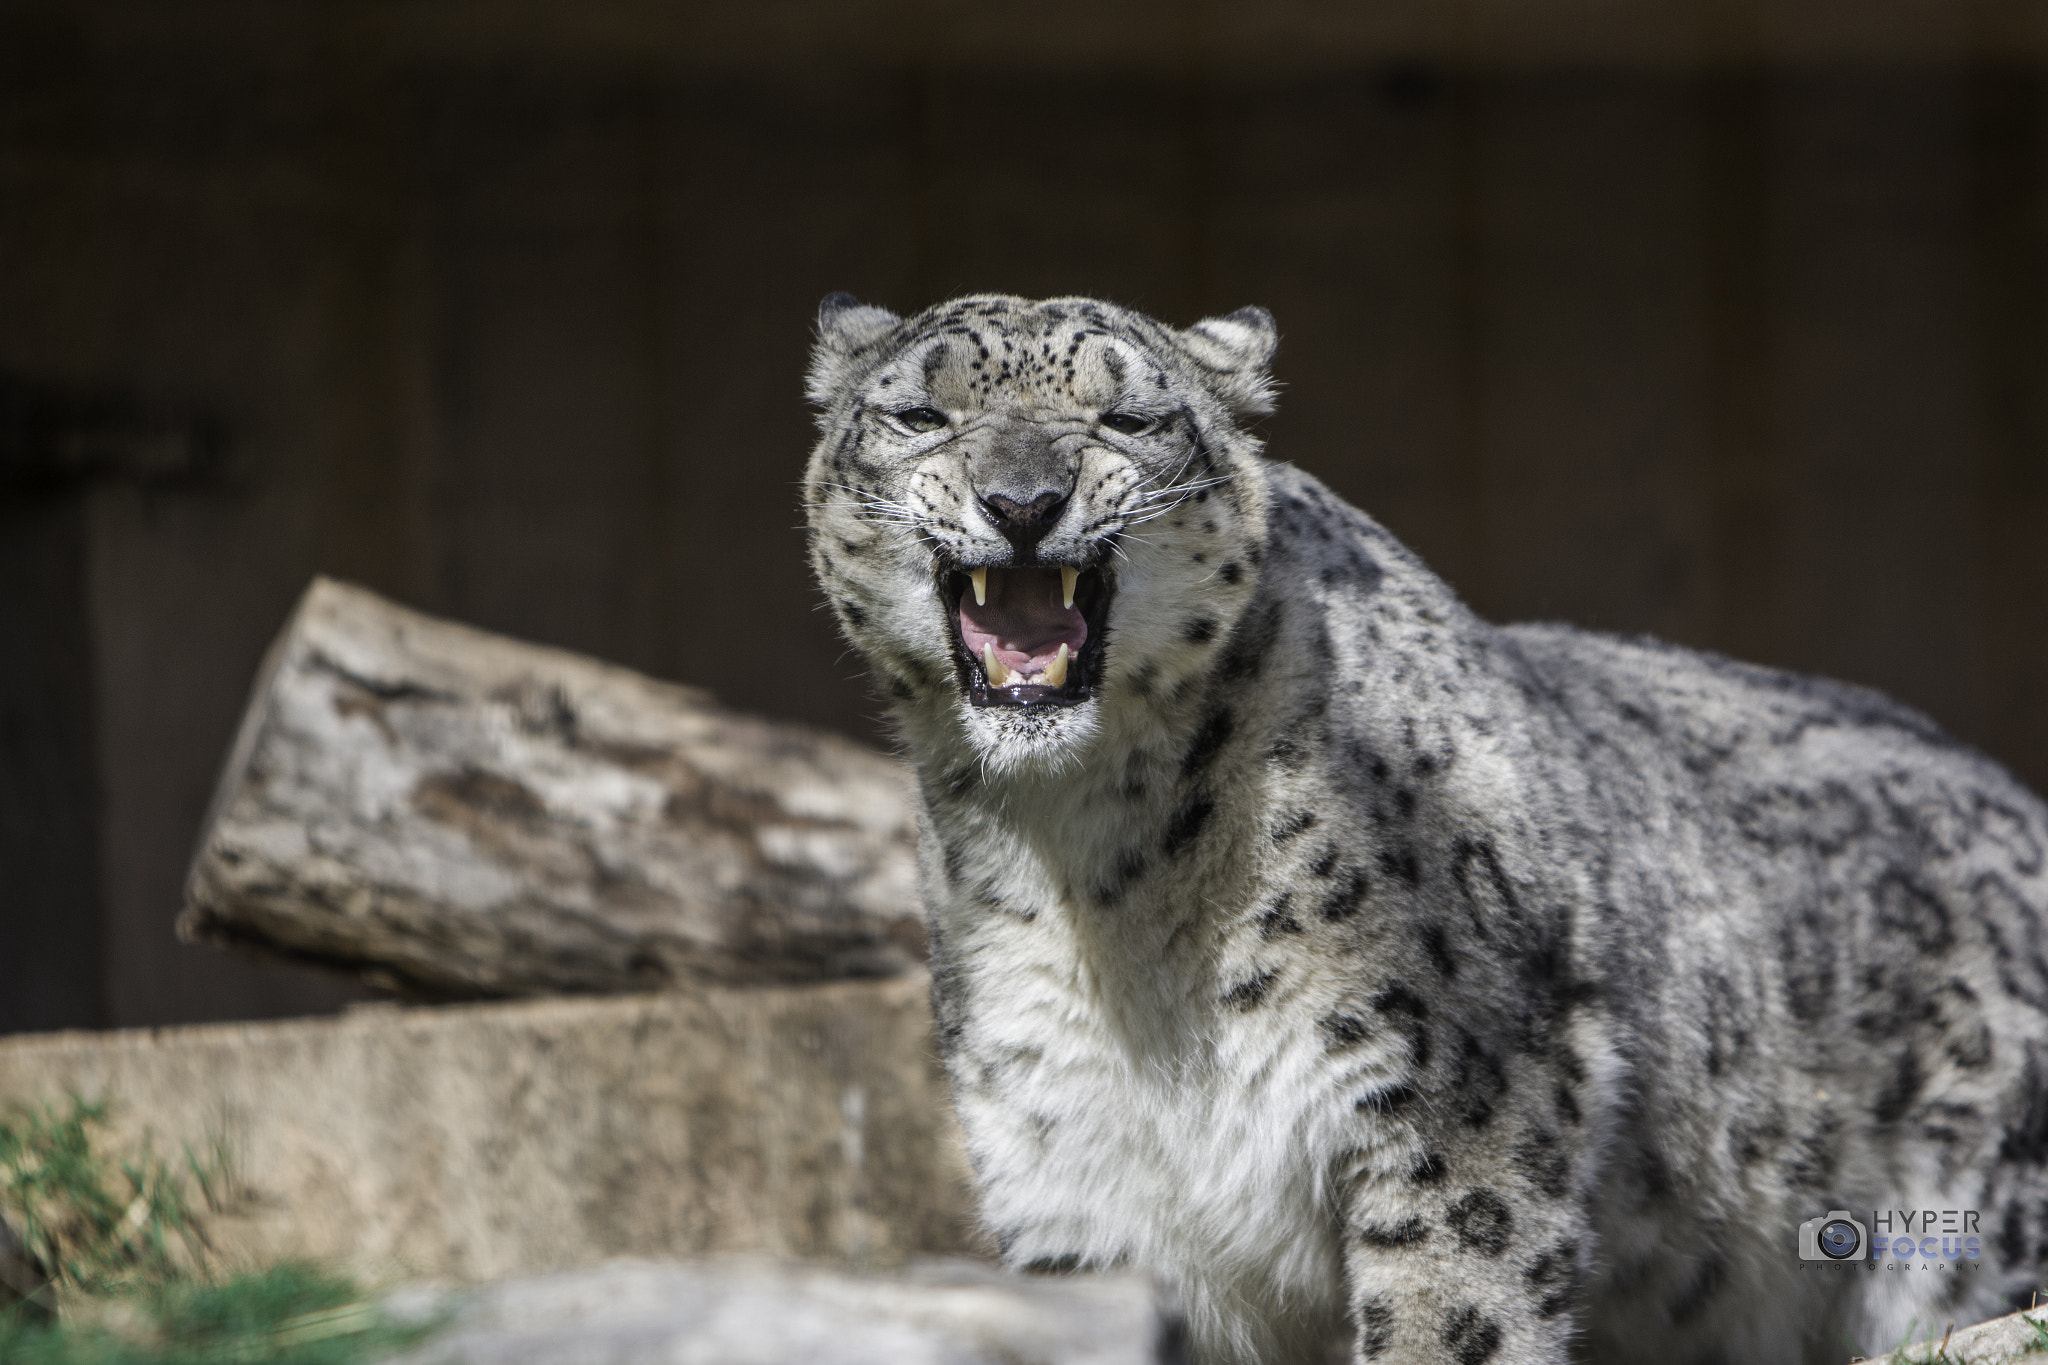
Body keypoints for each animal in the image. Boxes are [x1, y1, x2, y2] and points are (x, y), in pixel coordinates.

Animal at [800, 291, 2048, 1364]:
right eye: (920, 414)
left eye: (1127, 417)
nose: (1022, 505)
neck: (1095, 880)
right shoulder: (1072, 1163)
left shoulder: (1462, 1107)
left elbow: (1450, 1319)